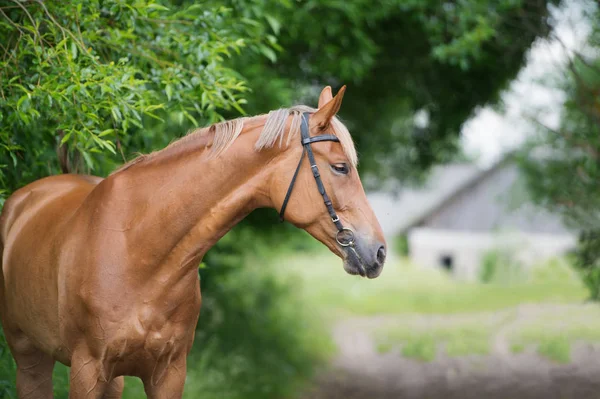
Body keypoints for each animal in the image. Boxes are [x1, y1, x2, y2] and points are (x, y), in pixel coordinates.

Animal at [0, 86, 384, 398]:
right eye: (340, 167)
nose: (378, 252)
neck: (140, 251)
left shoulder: (169, 373)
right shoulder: (87, 370)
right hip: (29, 356)